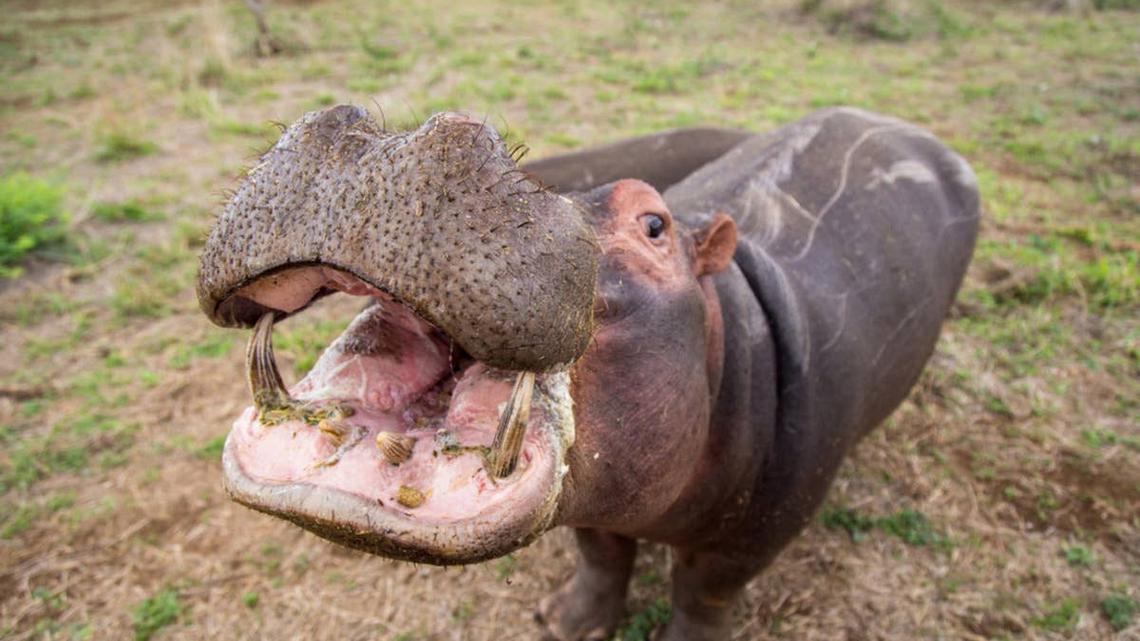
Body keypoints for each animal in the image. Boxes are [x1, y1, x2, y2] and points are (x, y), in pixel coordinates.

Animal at [196, 106, 979, 640]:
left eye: (654, 222)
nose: (377, 138)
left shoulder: (750, 542)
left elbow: (703, 595)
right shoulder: (599, 507)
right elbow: (600, 554)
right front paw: (565, 624)